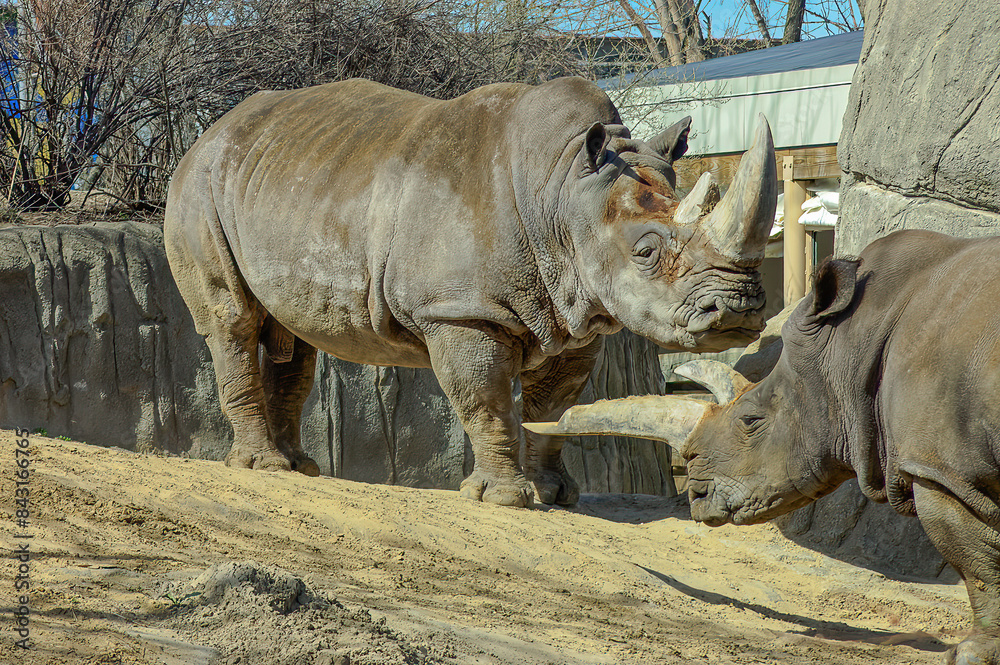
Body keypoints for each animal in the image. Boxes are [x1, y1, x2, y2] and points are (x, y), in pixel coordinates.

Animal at [164, 76, 778, 508]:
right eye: (646, 252)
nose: (739, 310)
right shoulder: (461, 312)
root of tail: (206, 134)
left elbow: (556, 405)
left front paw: (557, 496)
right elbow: (484, 398)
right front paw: (505, 499)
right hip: (200, 186)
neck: (562, 193)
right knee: (230, 318)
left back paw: (302, 467)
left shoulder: (579, 314)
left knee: (293, 336)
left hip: (282, 183)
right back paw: (262, 466)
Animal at [527, 229, 1000, 662]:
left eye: (751, 421)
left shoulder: (942, 469)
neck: (852, 344)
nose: (697, 496)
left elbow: (976, 562)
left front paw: (971, 654)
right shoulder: (952, 464)